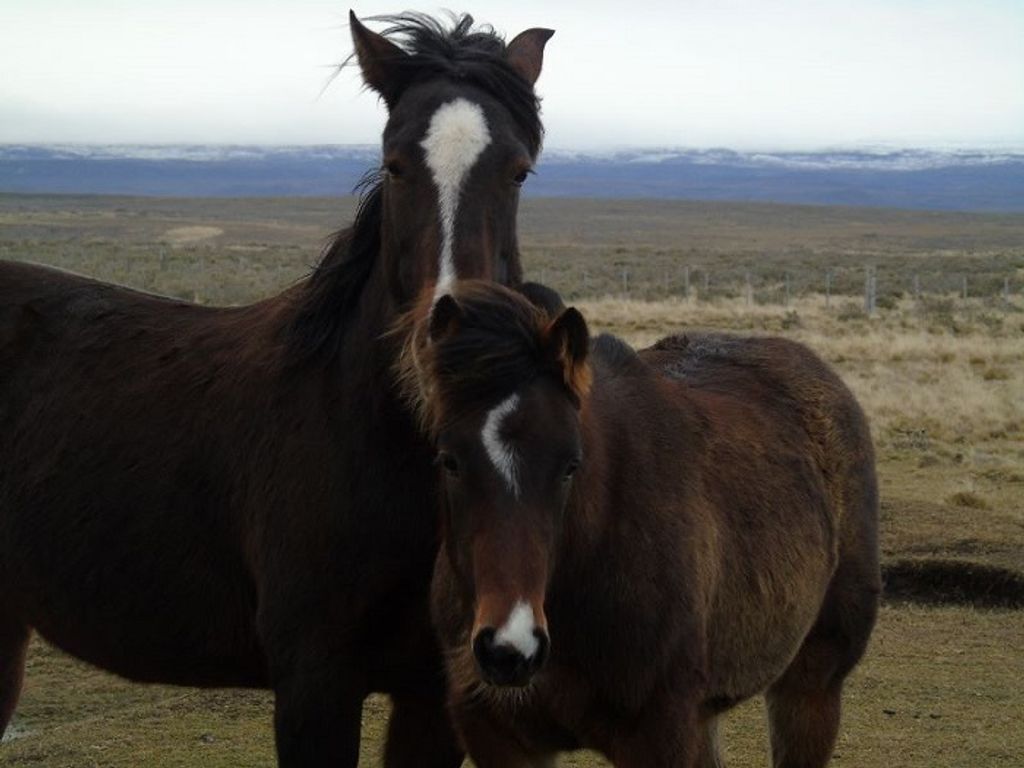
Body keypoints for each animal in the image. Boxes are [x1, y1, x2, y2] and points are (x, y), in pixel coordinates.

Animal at [397, 280, 881, 767]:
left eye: (570, 465)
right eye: (449, 460)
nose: (510, 649)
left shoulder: (659, 736)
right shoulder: (500, 738)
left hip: (810, 688)